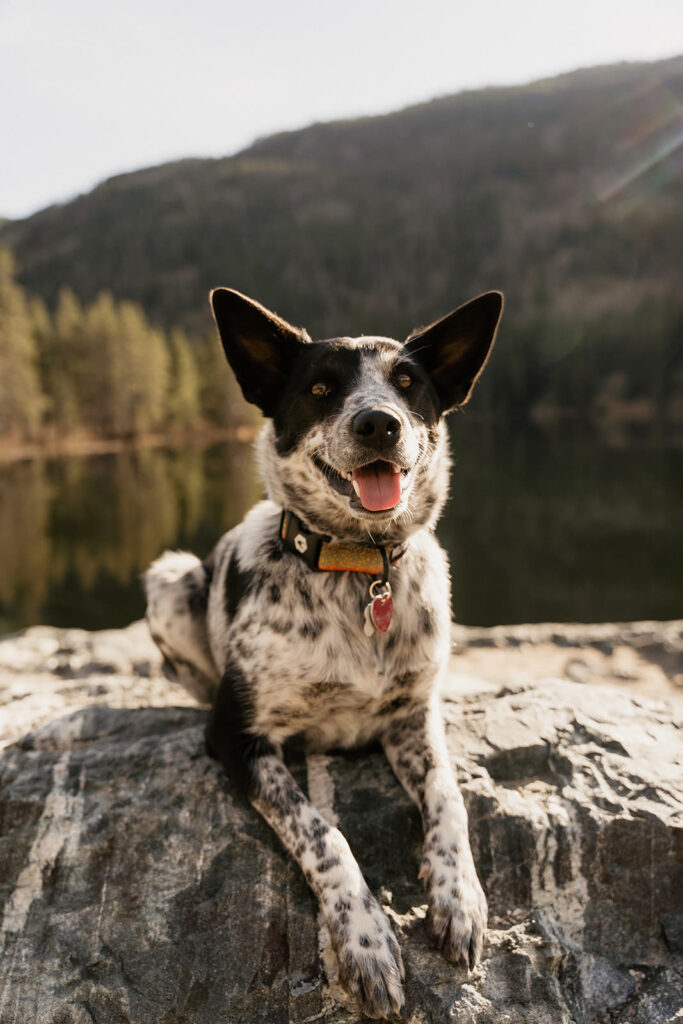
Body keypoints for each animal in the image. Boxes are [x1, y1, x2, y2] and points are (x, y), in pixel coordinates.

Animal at [145, 286, 501, 1015]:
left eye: (407, 383)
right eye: (319, 388)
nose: (378, 424)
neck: (357, 568)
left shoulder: (413, 716)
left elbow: (448, 798)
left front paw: (459, 899)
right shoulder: (239, 737)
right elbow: (322, 834)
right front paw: (364, 941)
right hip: (169, 577)